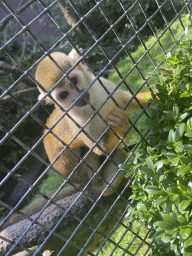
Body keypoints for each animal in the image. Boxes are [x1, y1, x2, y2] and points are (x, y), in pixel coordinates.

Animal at [35, 50, 152, 196]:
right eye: (63, 95)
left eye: (73, 81)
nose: (78, 97)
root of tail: (81, 185)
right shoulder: (79, 121)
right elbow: (100, 148)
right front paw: (118, 124)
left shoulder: (99, 84)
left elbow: (127, 100)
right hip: (87, 176)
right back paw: (108, 190)